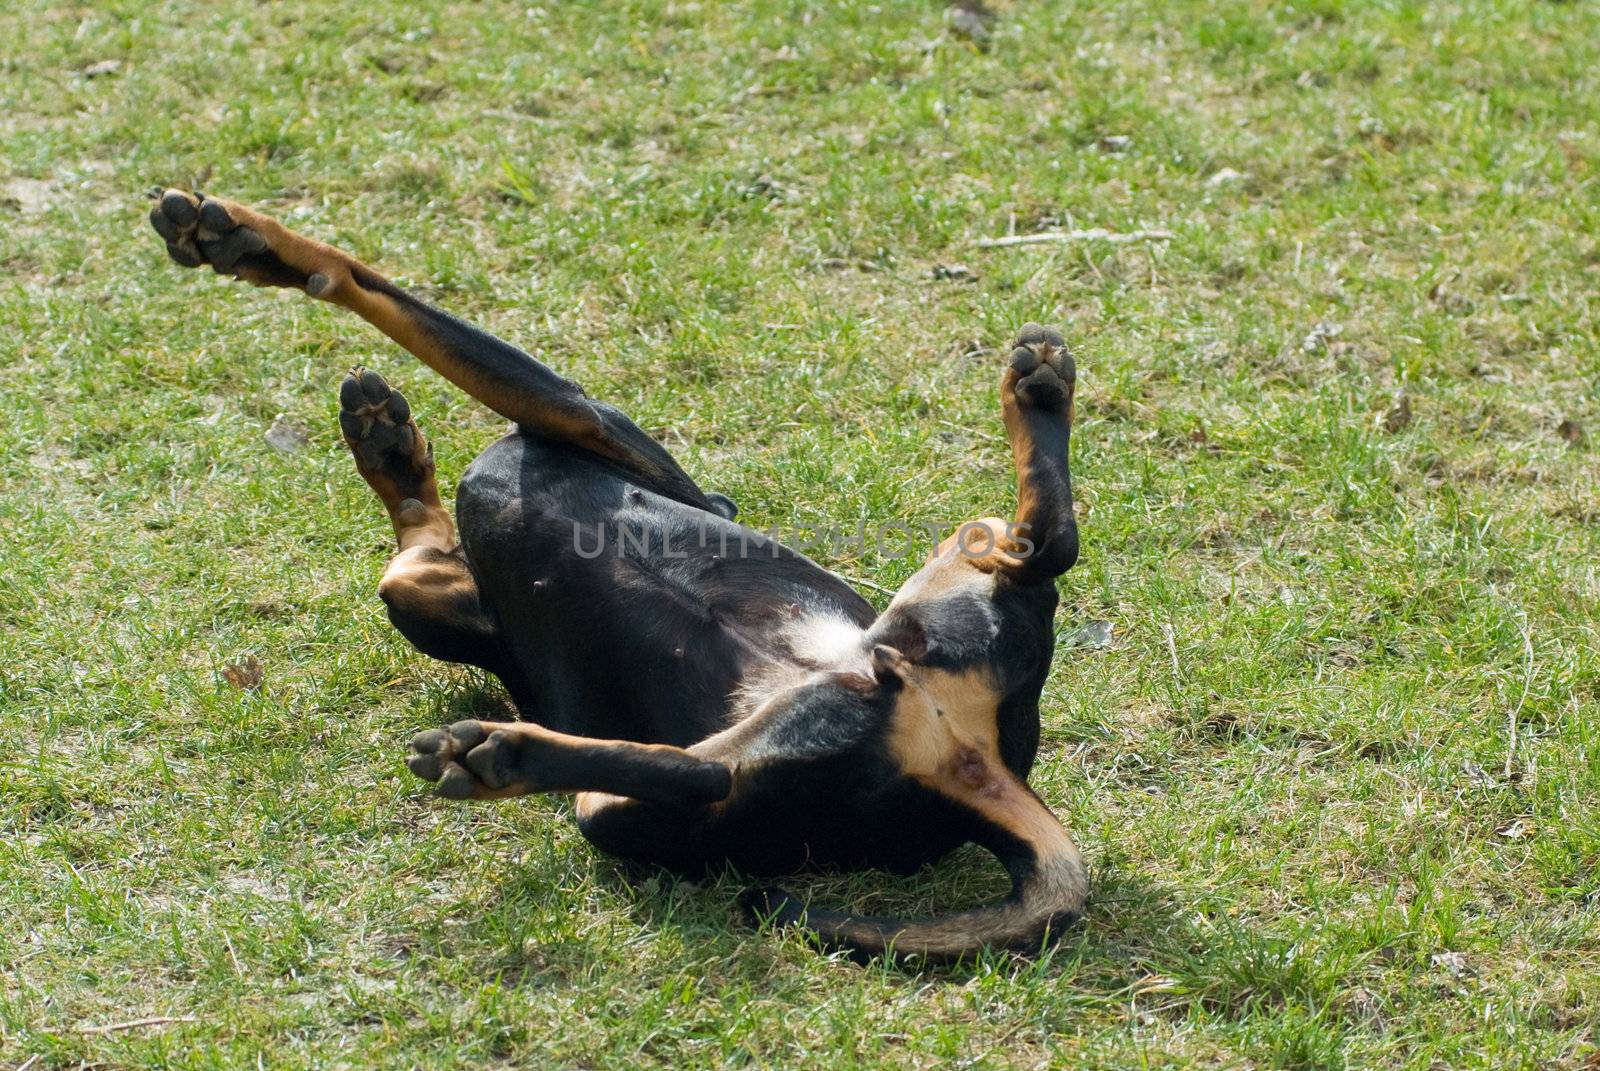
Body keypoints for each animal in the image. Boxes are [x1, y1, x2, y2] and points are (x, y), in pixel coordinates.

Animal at [147, 185, 1088, 960]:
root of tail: (985, 763)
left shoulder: (579, 415)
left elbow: (384, 294)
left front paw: (255, 245)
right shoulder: (453, 581)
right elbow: (410, 546)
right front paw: (386, 444)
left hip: (661, 800)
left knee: (685, 775)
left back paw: (497, 755)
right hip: (924, 612)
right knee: (1037, 548)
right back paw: (1039, 396)